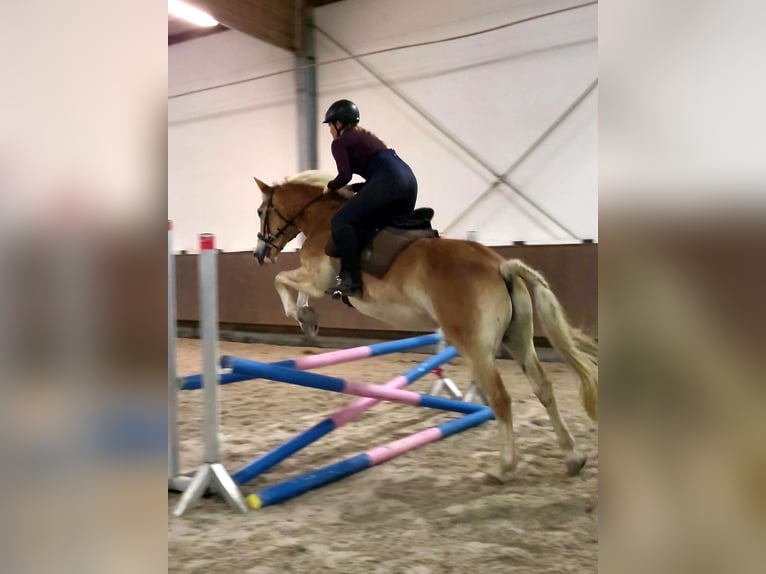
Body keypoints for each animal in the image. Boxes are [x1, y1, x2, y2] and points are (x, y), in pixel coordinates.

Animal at [252, 170, 597, 481]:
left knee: (500, 398)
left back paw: (504, 468)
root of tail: (500, 265)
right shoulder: (315, 281)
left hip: (475, 348)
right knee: (543, 387)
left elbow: (280, 280)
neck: (322, 220)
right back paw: (573, 457)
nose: (259, 254)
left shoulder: (317, 278)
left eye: (259, 212)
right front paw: (307, 318)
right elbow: (294, 289)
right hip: (518, 340)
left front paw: (301, 315)